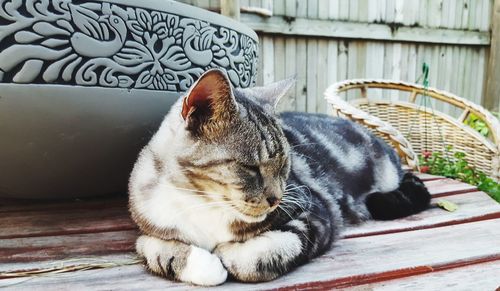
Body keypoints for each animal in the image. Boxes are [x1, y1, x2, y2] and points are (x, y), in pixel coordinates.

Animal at [128, 69, 430, 288]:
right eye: (251, 167)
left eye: (285, 164)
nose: (276, 199)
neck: (205, 204)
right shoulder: (150, 223)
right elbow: (155, 249)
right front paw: (203, 264)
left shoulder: (318, 212)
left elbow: (272, 250)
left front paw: (228, 254)